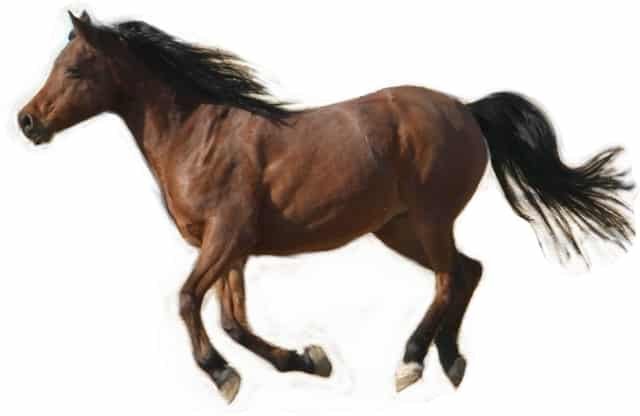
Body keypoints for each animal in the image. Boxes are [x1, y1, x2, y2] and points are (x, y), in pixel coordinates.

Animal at [18, 11, 634, 404]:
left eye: (73, 69)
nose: (26, 121)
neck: (198, 135)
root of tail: (464, 107)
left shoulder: (224, 237)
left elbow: (190, 301)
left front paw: (222, 376)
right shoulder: (233, 249)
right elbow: (234, 321)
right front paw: (310, 360)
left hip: (429, 219)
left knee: (447, 277)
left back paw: (411, 362)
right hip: (397, 228)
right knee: (469, 271)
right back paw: (451, 359)